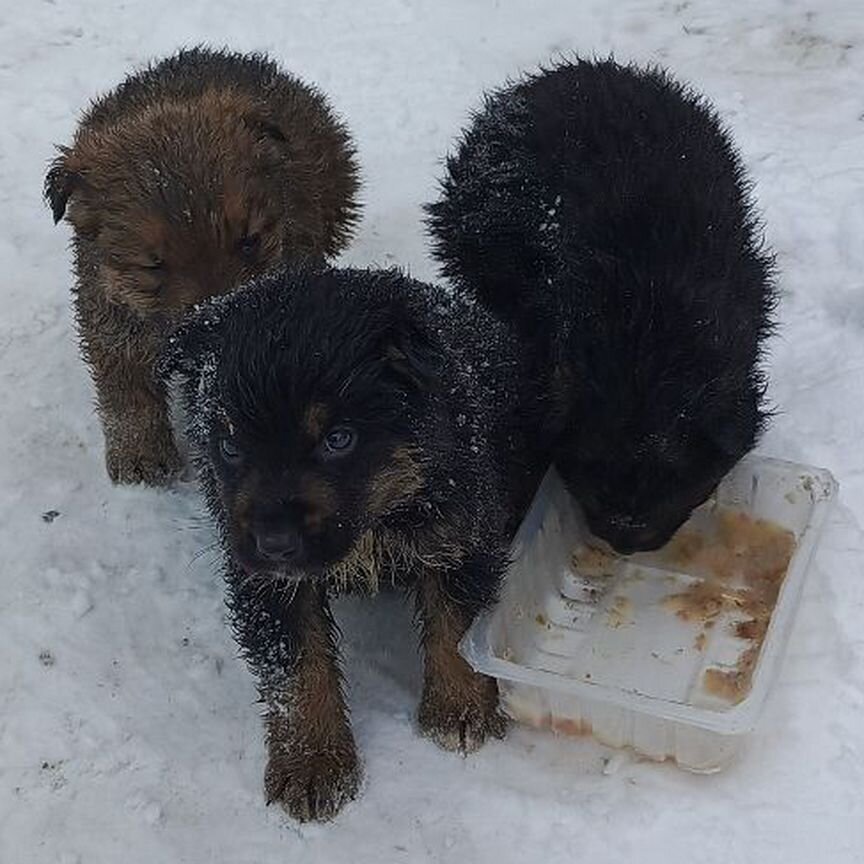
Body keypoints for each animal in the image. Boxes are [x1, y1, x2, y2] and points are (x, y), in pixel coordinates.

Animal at [43, 49, 362, 486]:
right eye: (153, 264)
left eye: (249, 241)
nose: (217, 322)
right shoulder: (109, 310)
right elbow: (126, 389)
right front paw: (141, 456)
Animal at [159, 266, 544, 820]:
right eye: (229, 446)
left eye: (338, 440)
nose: (274, 543)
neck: (376, 520)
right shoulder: (269, 586)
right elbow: (296, 668)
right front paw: (312, 763)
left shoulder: (459, 532)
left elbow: (455, 624)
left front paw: (460, 709)